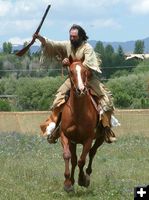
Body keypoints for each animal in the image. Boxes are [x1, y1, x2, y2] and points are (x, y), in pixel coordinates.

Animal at [60, 61, 105, 192]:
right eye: (70, 71)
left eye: (86, 71)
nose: (81, 90)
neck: (77, 113)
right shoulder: (65, 136)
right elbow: (68, 156)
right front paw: (67, 183)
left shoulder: (88, 139)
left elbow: (82, 160)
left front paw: (82, 180)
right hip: (73, 142)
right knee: (74, 159)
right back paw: (71, 180)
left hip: (100, 138)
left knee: (92, 153)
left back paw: (87, 176)